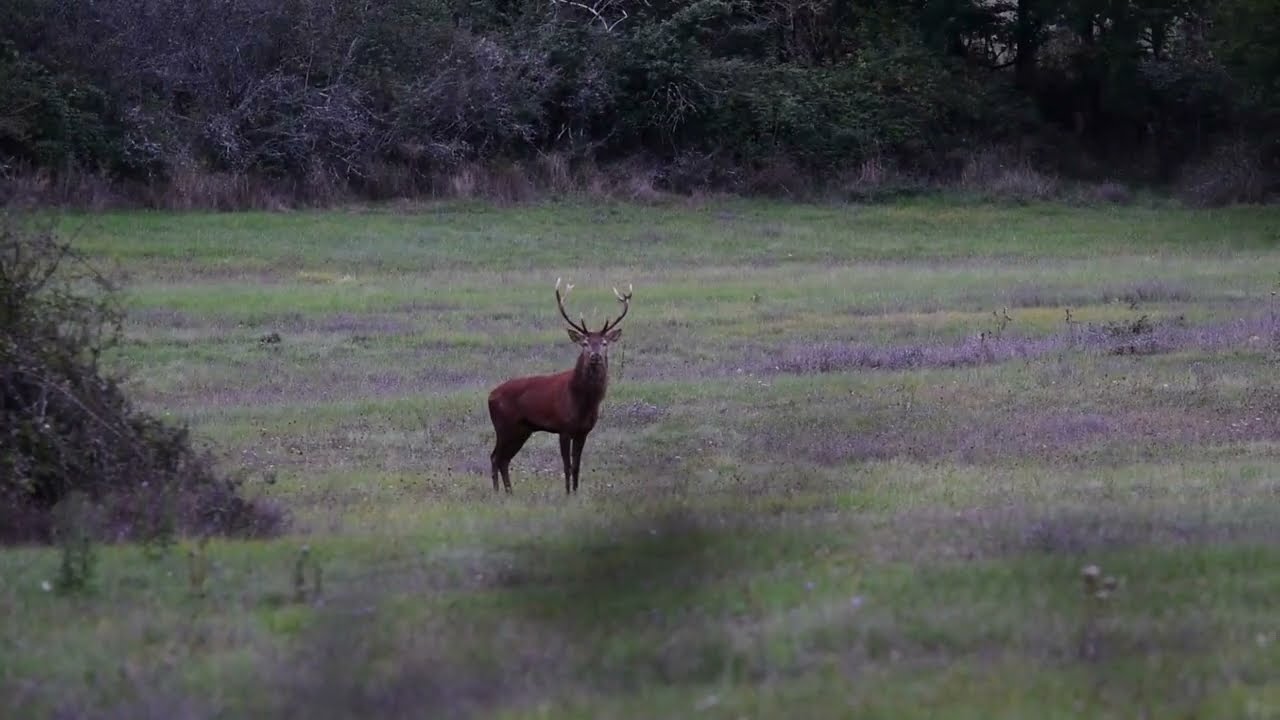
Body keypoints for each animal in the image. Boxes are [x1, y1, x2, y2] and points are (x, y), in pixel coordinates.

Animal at [487, 279, 633, 495]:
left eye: (604, 342)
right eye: (585, 343)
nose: (595, 356)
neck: (582, 402)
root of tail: (489, 396)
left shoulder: (583, 431)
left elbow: (577, 465)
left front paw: (576, 493)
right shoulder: (563, 427)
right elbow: (566, 465)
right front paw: (567, 493)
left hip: (522, 429)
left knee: (503, 459)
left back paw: (509, 493)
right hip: (504, 425)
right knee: (495, 456)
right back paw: (498, 493)